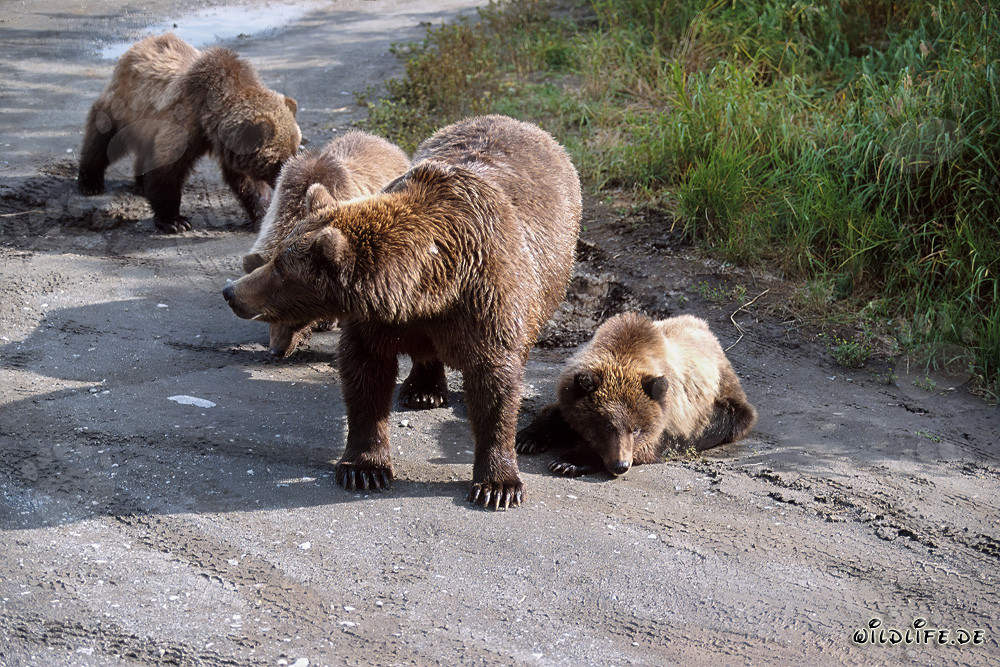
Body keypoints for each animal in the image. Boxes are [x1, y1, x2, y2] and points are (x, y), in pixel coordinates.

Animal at [77, 32, 301, 233]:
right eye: (278, 161)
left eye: (295, 150)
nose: (290, 180)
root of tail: (137, 45)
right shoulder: (185, 124)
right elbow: (167, 170)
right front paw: (174, 221)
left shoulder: (230, 146)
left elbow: (247, 181)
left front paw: (262, 215)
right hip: (123, 108)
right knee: (102, 140)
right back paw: (90, 182)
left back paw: (141, 183)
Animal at [516, 312, 756, 477]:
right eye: (606, 426)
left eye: (636, 429)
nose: (621, 465)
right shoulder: (573, 391)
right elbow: (557, 413)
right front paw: (527, 438)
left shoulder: (665, 423)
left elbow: (647, 446)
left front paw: (569, 461)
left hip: (721, 403)